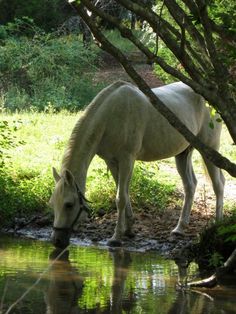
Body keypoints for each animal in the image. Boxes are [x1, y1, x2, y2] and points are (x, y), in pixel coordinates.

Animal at [49, 80, 225, 248]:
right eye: (52, 203)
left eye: (69, 204)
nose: (57, 241)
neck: (111, 116)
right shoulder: (112, 161)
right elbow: (124, 194)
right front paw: (129, 230)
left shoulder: (127, 159)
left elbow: (120, 198)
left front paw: (116, 238)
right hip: (183, 154)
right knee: (190, 185)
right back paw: (179, 228)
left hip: (209, 149)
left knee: (218, 184)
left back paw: (218, 225)